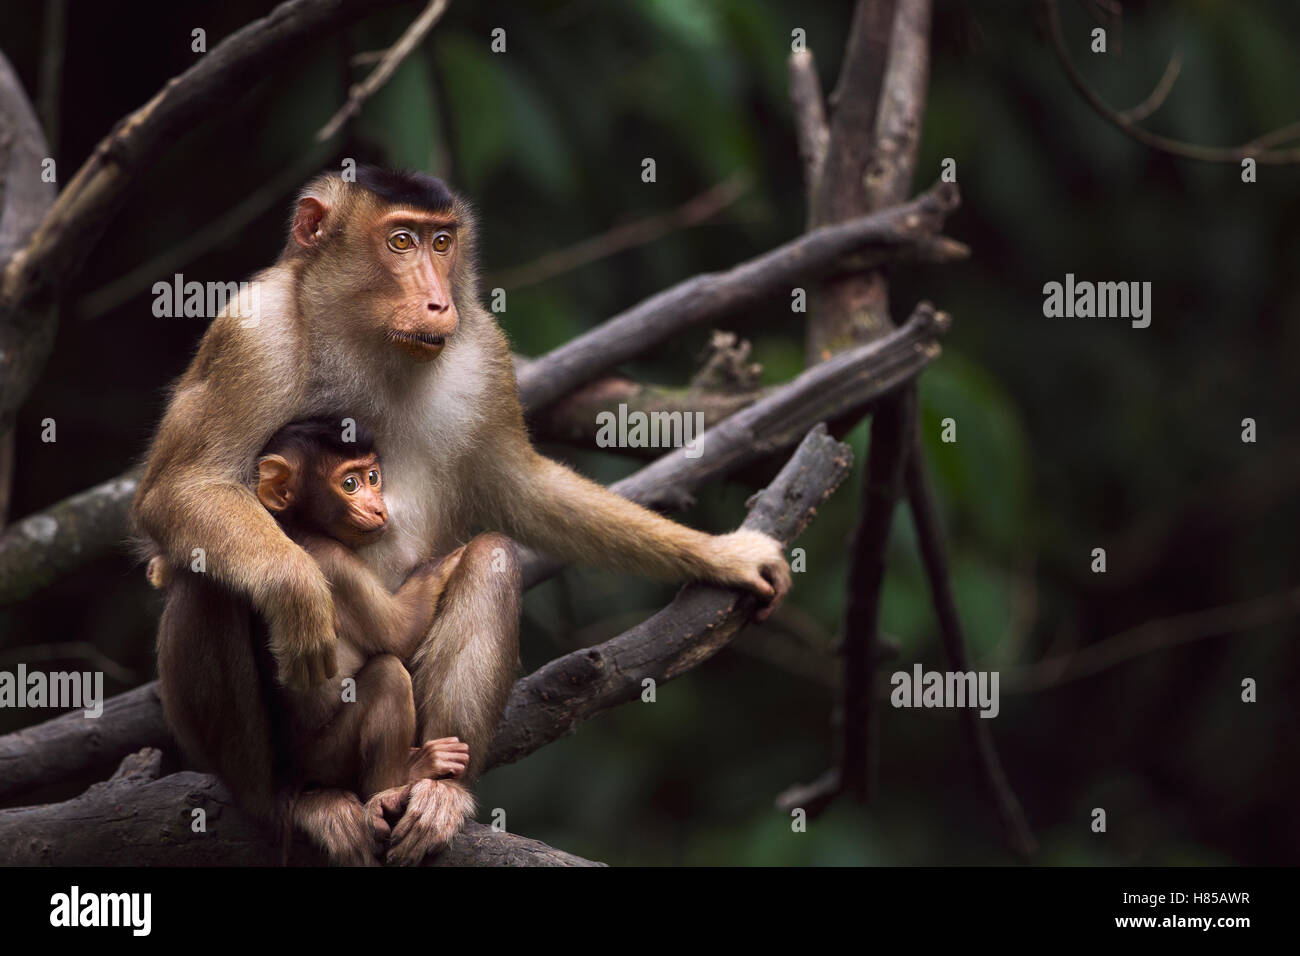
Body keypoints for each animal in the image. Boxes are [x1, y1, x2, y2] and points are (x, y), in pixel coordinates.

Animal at [133, 165, 791, 865]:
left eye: (442, 242)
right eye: (400, 241)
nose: (438, 302)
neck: (362, 340)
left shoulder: (484, 349)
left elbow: (524, 490)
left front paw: (726, 555)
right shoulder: (249, 335)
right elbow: (177, 492)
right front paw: (296, 590)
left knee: (491, 559)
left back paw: (436, 791)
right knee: (205, 578)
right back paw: (293, 800)